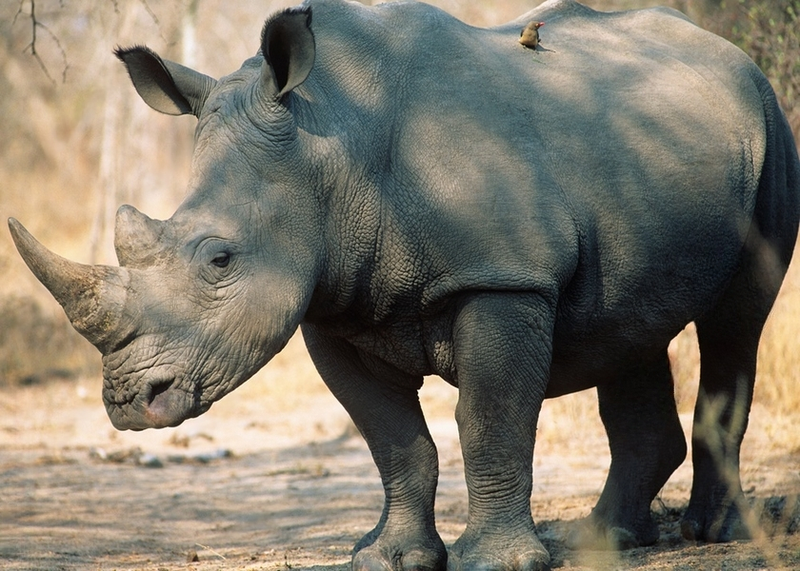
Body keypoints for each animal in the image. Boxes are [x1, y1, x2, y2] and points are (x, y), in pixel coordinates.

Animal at [9, 0, 800, 569]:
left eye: (221, 261)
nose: (127, 402)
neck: (328, 139)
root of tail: (733, 57)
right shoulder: (332, 301)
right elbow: (391, 437)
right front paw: (387, 556)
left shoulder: (500, 278)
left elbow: (489, 418)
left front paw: (499, 563)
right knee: (629, 324)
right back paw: (597, 542)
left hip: (770, 126)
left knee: (736, 320)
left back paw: (713, 533)